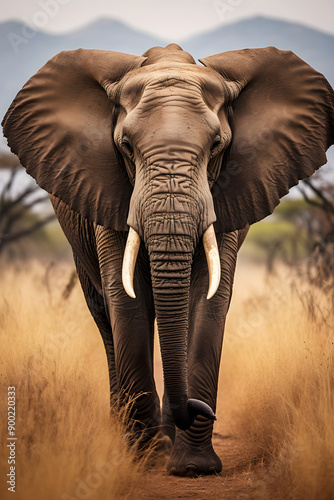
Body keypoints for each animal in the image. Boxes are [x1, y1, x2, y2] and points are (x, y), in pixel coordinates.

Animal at [2, 44, 334, 476]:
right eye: (126, 146)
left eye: (217, 145)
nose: (198, 409)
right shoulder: (108, 193)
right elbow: (125, 299)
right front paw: (145, 459)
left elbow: (210, 300)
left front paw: (194, 466)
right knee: (105, 318)